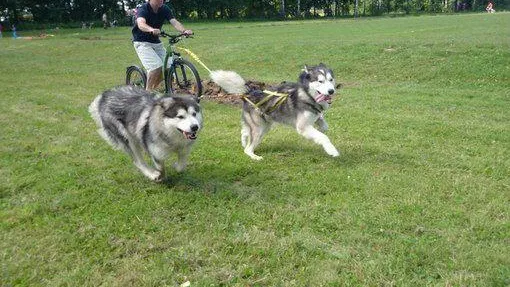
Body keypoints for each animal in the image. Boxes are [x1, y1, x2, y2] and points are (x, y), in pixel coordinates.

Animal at [210, 63, 338, 161]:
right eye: (320, 81)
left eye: (331, 80)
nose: (331, 91)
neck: (307, 95)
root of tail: (250, 92)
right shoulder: (302, 127)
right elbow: (323, 137)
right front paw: (332, 150)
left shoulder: (314, 118)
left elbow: (324, 127)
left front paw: (321, 128)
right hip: (259, 129)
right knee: (247, 149)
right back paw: (254, 156)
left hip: (264, 126)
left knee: (245, 131)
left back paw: (244, 140)